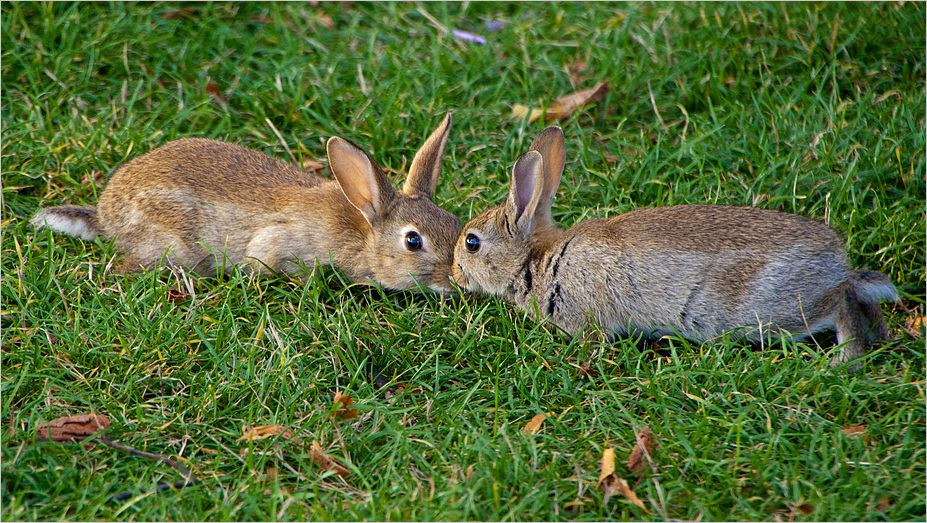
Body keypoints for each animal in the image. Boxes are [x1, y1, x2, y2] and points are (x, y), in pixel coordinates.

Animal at [30, 114, 462, 292]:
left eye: (456, 226)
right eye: (413, 241)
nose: (455, 280)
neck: (365, 232)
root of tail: (107, 218)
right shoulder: (279, 242)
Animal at [454, 127, 904, 370]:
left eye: (472, 243)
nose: (455, 275)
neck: (538, 259)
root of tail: (836, 260)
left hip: (774, 309)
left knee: (841, 301)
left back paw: (845, 358)